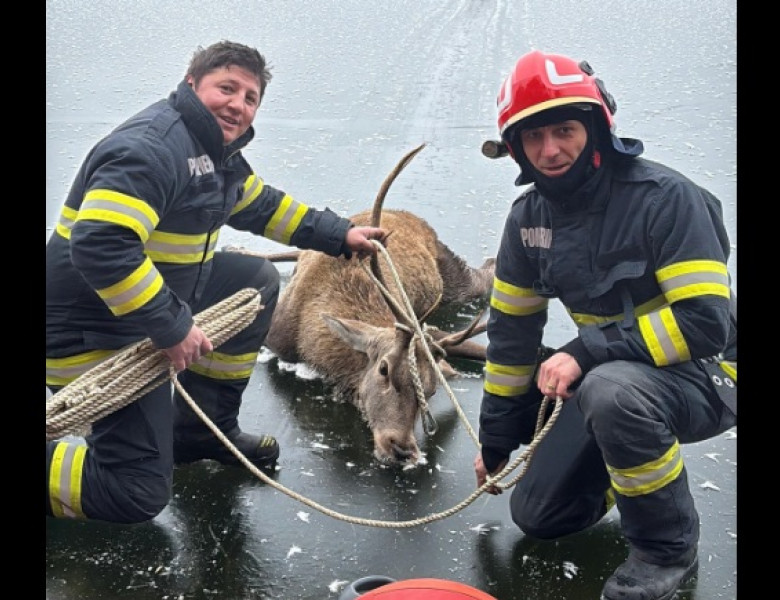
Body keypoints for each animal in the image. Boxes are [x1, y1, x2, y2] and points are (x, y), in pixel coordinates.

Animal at [260, 143, 494, 466]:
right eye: (384, 369)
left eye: (432, 391)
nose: (402, 448)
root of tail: (410, 216)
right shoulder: (275, 338)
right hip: (451, 270)